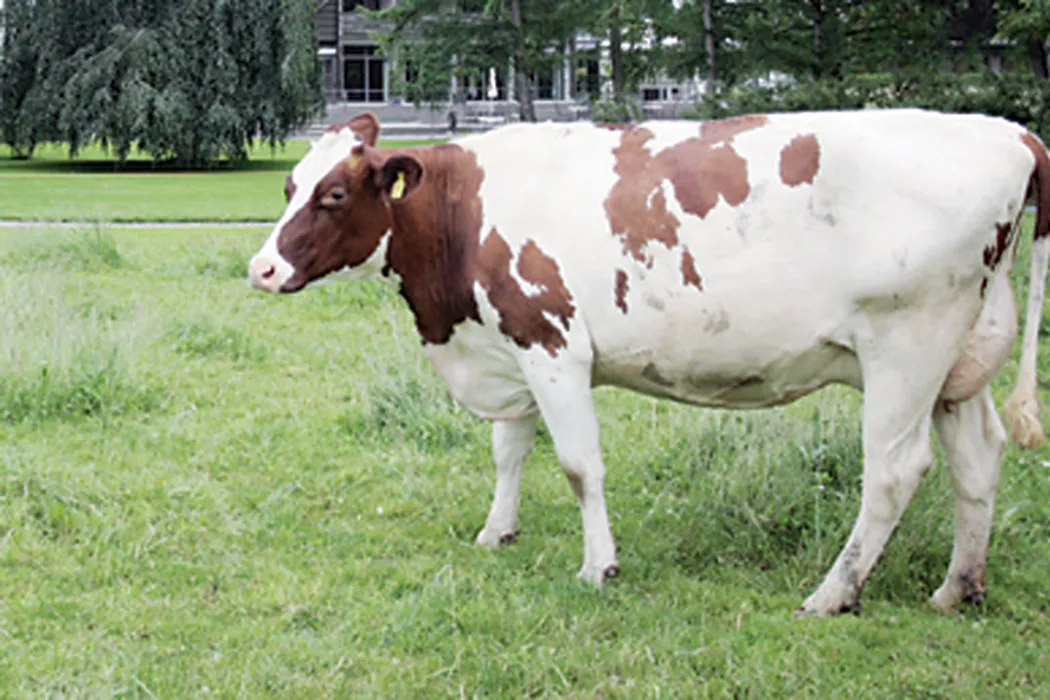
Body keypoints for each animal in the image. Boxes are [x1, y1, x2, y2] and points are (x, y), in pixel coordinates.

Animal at [248, 108, 1050, 616]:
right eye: (288, 186)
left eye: (334, 194)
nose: (260, 268)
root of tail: (1007, 130)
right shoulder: (510, 343)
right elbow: (508, 450)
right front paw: (496, 532)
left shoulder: (551, 343)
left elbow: (579, 466)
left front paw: (597, 566)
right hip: (958, 358)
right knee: (977, 459)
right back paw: (957, 588)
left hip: (906, 344)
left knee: (892, 472)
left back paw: (832, 595)